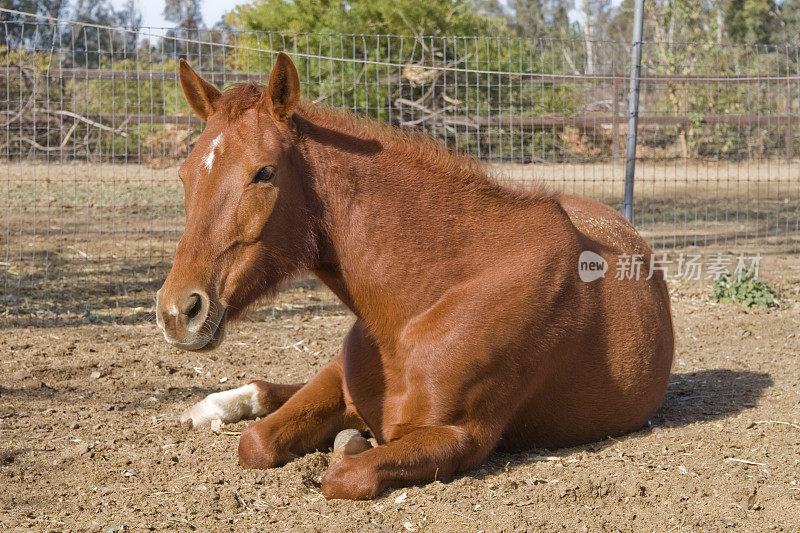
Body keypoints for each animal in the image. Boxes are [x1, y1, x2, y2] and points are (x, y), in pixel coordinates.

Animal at [156, 53, 676, 498]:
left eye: (264, 173)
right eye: (184, 175)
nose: (178, 311)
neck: (425, 303)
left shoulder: (460, 438)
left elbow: (345, 473)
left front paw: (350, 442)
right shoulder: (342, 384)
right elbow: (256, 443)